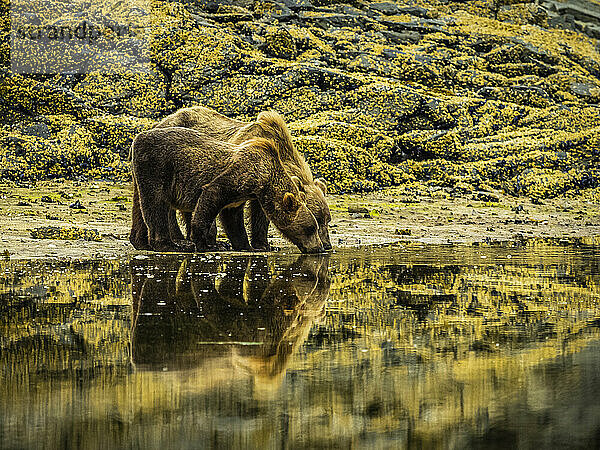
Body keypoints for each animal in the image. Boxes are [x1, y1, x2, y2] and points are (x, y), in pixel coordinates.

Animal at [138, 107, 332, 251]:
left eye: (327, 220)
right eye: (317, 220)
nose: (327, 245)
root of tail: (161, 121)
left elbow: (260, 214)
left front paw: (264, 244)